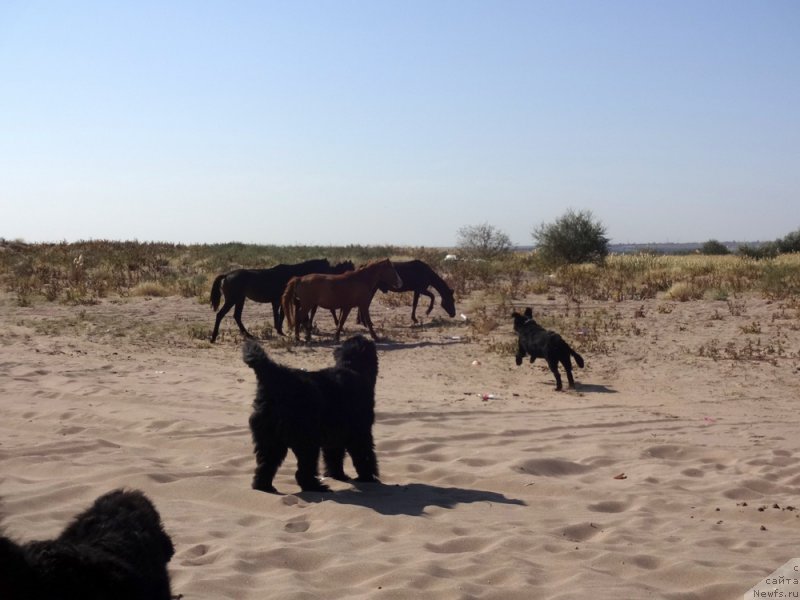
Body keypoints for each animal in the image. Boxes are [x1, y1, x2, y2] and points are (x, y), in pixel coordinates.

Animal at [209, 258, 354, 342]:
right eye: (327, 268)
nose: (332, 279)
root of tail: (226, 275)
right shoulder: (284, 301)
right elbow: (283, 315)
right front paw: (285, 331)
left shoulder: (282, 301)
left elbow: (281, 315)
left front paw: (281, 330)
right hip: (232, 299)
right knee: (221, 315)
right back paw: (214, 337)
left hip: (240, 299)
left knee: (237, 316)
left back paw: (248, 335)